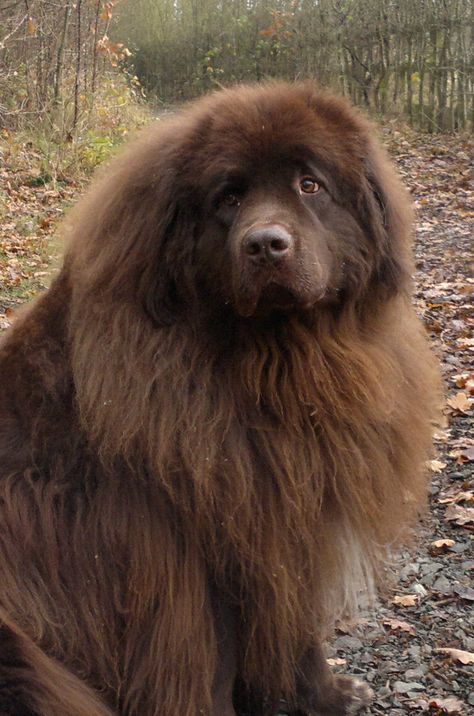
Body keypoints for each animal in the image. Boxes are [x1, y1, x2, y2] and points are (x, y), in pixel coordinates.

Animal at [0, 85, 436, 716]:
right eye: (228, 197)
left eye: (310, 185)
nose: (266, 245)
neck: (275, 363)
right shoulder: (193, 549)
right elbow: (213, 656)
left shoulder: (281, 514)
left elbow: (295, 625)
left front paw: (327, 694)